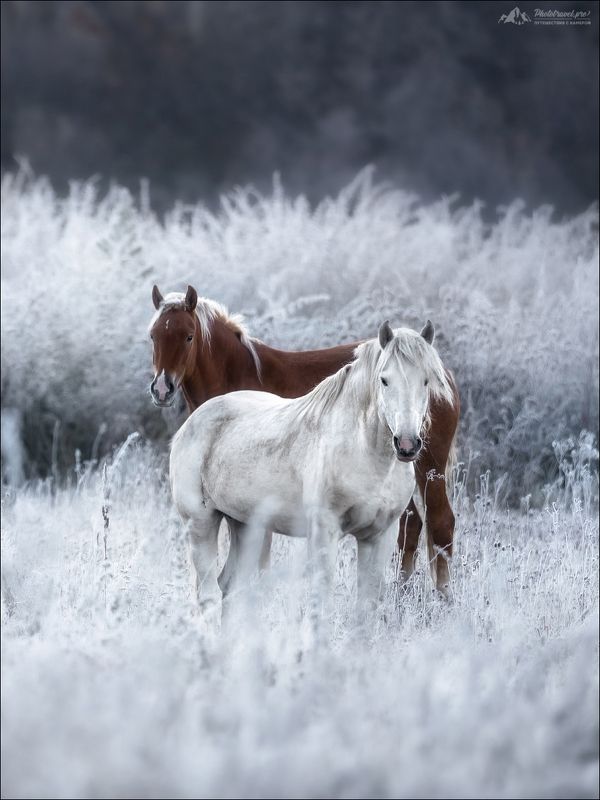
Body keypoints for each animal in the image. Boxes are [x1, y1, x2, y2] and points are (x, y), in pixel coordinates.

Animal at [149, 285, 460, 594]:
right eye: (153, 336)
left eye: (188, 336)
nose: (162, 389)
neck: (238, 372)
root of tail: (447, 376)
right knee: (413, 525)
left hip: (428, 468)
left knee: (440, 522)